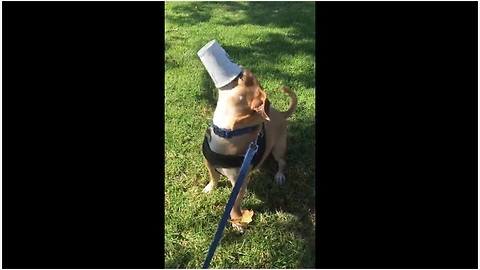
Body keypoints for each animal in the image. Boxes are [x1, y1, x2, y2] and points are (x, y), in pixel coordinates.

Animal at [202, 68, 296, 231]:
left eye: (246, 80)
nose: (242, 70)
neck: (226, 132)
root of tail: (280, 113)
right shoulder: (209, 162)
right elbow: (213, 177)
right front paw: (210, 188)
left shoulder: (239, 183)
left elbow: (234, 204)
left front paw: (236, 221)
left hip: (278, 149)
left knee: (282, 162)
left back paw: (279, 175)